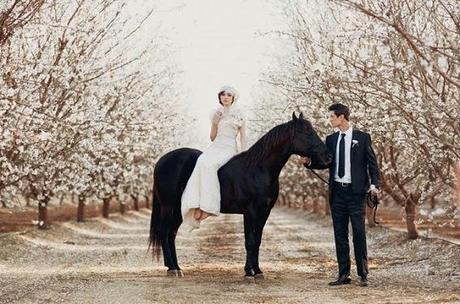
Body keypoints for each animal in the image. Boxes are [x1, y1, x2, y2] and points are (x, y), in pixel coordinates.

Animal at [149, 112, 332, 278]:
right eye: (307, 132)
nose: (328, 157)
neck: (258, 169)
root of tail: (161, 161)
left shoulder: (264, 211)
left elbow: (257, 240)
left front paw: (257, 271)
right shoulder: (250, 211)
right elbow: (249, 241)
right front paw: (249, 272)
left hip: (178, 210)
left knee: (171, 234)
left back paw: (176, 267)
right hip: (169, 207)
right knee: (165, 232)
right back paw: (173, 269)